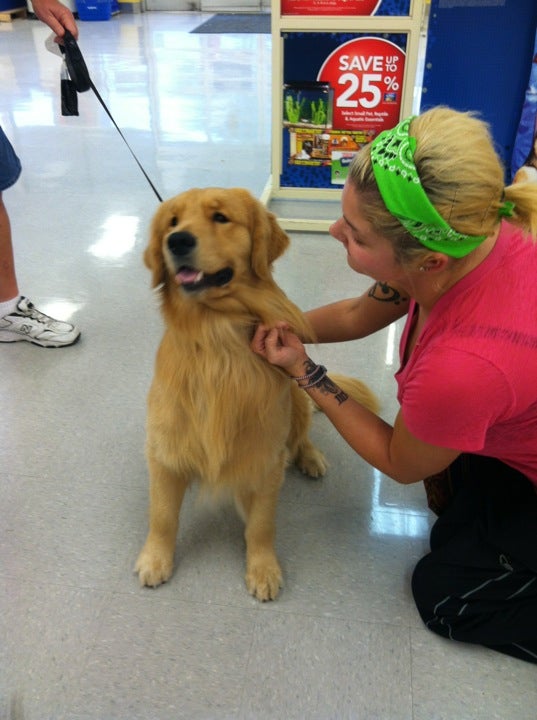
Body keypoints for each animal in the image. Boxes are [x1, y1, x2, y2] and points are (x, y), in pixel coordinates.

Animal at [134, 187, 376, 600]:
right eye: (172, 222)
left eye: (220, 217)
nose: (177, 240)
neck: (216, 337)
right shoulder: (165, 449)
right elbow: (162, 515)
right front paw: (155, 559)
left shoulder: (264, 455)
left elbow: (262, 524)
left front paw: (263, 568)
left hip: (296, 397)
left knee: (302, 434)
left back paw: (311, 458)